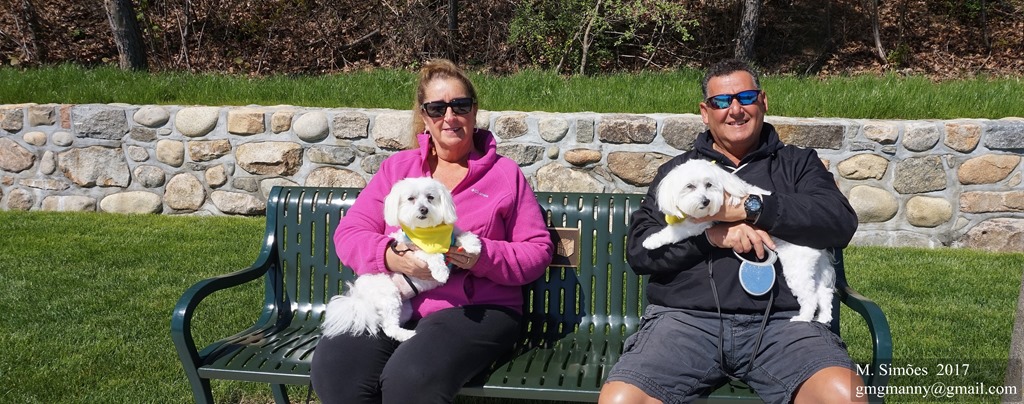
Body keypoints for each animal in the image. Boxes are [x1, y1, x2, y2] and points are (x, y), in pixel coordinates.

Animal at [321, 177, 481, 341]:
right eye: (411, 199)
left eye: (430, 197)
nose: (423, 209)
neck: (428, 232)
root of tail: (360, 299)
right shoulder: (414, 251)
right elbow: (431, 254)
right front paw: (441, 272)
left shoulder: (452, 236)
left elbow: (463, 234)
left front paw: (473, 246)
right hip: (389, 295)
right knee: (389, 327)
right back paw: (407, 335)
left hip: (404, 308)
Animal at [642, 159, 836, 323]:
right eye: (689, 186)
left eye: (708, 185)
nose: (706, 201)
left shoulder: (701, 223)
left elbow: (675, 231)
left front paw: (652, 241)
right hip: (813, 268)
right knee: (824, 293)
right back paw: (824, 318)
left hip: (797, 267)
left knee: (811, 296)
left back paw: (803, 318)